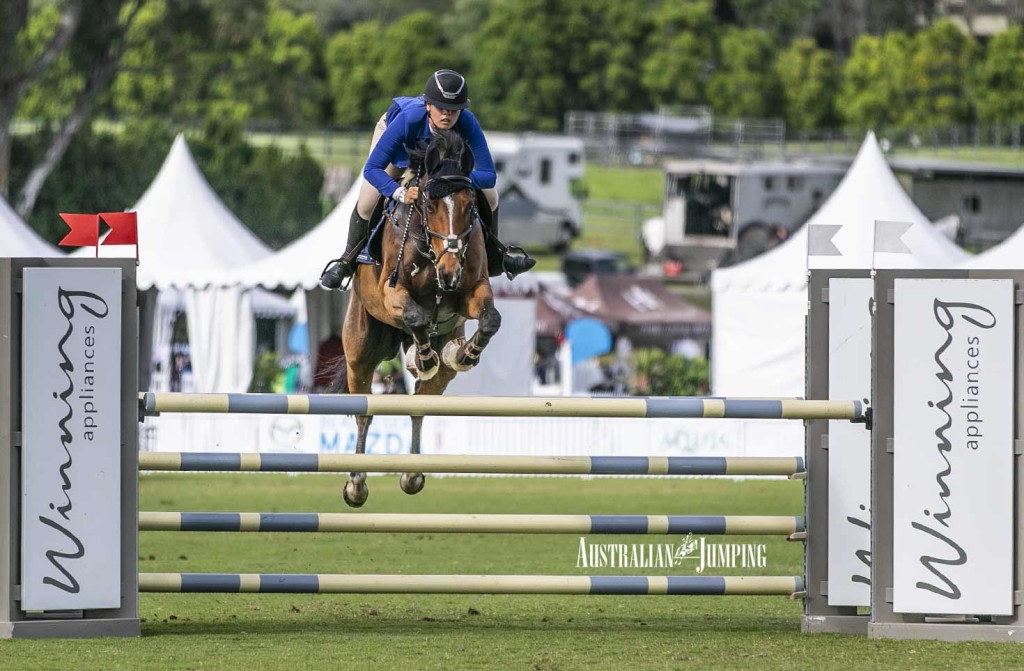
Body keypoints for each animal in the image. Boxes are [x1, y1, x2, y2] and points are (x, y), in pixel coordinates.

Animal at [339, 130, 499, 510]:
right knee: (364, 410)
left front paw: (464, 354)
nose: (450, 271)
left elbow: (490, 319)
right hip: (360, 350)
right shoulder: (392, 293)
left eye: (470, 207)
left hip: (440, 373)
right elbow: (414, 313)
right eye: (429, 206)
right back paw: (356, 485)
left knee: (420, 404)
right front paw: (424, 357)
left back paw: (411, 475)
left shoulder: (473, 291)